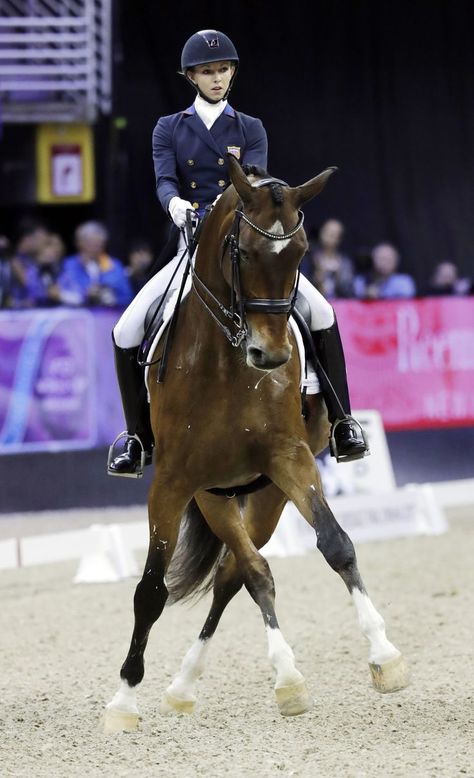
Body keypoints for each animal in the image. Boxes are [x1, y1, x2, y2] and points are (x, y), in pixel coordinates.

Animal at [103, 156, 408, 728]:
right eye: (241, 251)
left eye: (303, 251)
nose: (270, 355)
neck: (225, 362)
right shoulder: (172, 482)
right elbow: (150, 589)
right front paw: (124, 699)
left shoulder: (289, 458)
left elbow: (338, 545)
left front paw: (385, 655)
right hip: (212, 493)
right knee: (245, 568)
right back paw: (232, 681)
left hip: (263, 492)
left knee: (236, 573)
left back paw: (221, 682)